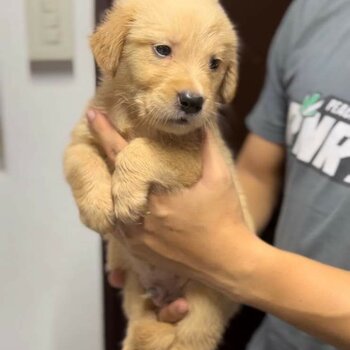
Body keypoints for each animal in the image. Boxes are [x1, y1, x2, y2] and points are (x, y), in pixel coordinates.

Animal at [64, 0, 253, 348]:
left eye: (215, 63)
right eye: (163, 50)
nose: (193, 101)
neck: (137, 119)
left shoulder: (191, 159)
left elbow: (142, 150)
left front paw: (125, 196)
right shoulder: (80, 139)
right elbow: (83, 165)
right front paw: (96, 208)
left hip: (204, 304)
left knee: (191, 338)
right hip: (136, 290)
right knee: (141, 327)